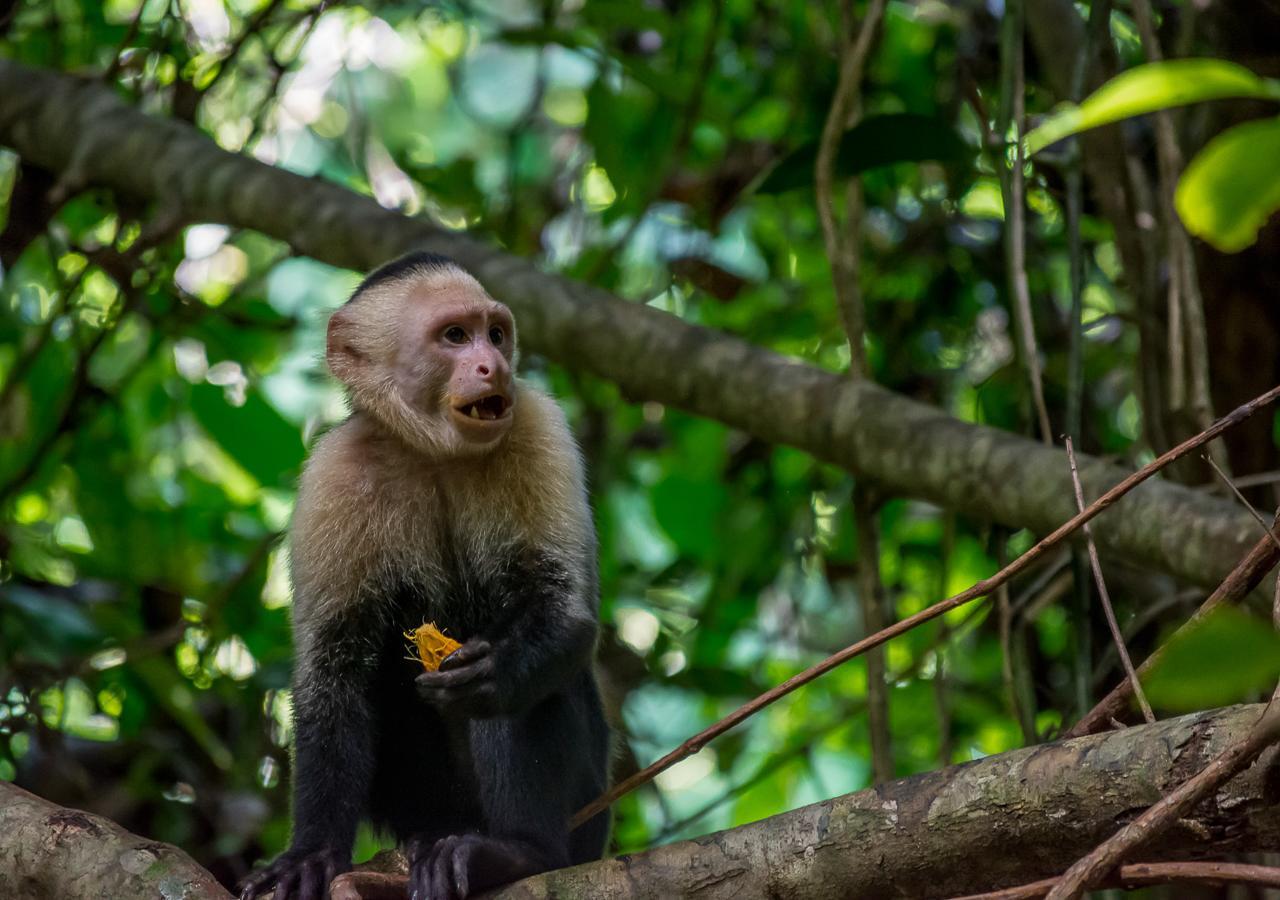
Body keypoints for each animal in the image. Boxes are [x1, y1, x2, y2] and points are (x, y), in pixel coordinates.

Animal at [244, 252, 614, 900]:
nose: (493, 367)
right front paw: (311, 854)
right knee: (383, 683)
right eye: (456, 337)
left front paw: (497, 668)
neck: (435, 452)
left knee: (528, 691)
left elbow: (560, 611)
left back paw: (519, 853)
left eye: (496, 334)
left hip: (589, 814)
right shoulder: (335, 472)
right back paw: (429, 841)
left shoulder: (537, 423)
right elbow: (332, 670)